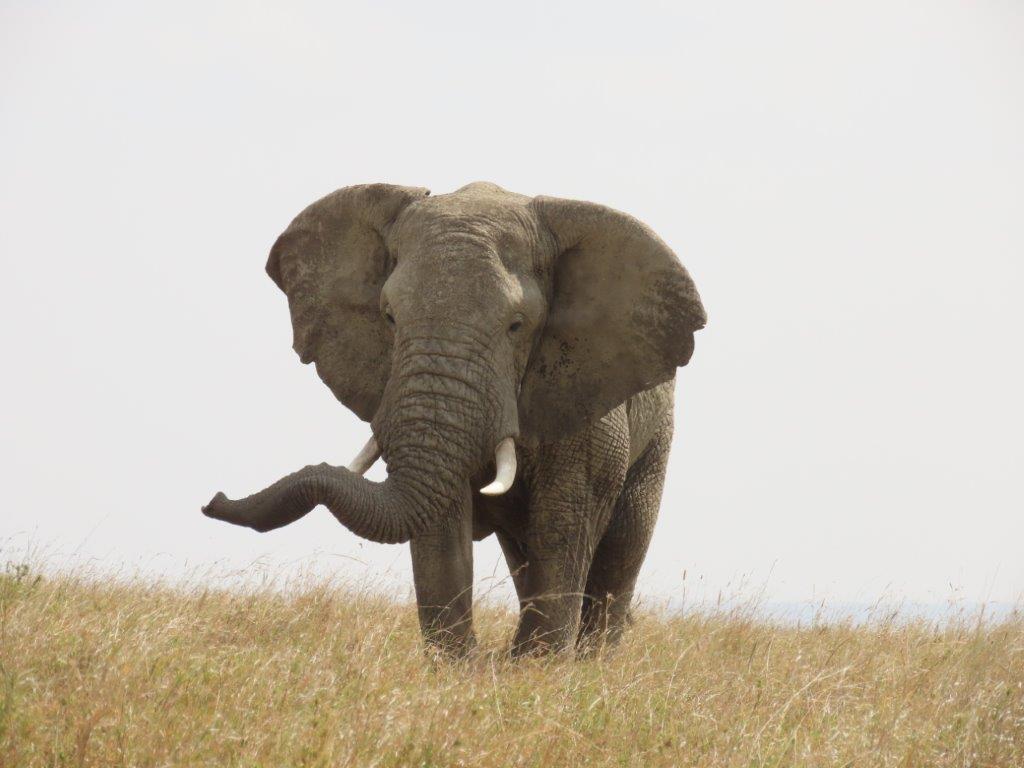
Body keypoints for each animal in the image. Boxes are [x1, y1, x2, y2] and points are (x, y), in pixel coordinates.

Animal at [202, 182, 706, 657]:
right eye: (389, 316)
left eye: (516, 325)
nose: (214, 500)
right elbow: (442, 520)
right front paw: (462, 667)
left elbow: (566, 517)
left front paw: (536, 671)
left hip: (657, 437)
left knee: (621, 548)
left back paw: (591, 661)